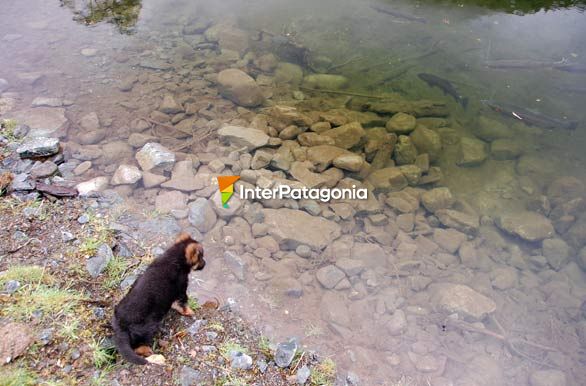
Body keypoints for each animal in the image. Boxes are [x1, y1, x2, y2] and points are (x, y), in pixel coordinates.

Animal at [110, 232, 204, 364]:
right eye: (201, 257)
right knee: (138, 346)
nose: (205, 264)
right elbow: (183, 303)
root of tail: (121, 323)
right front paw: (189, 312)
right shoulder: (181, 287)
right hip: (148, 327)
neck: (174, 258)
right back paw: (147, 351)